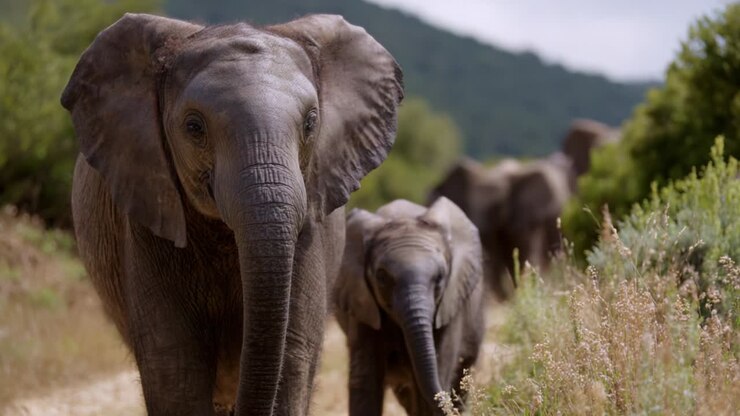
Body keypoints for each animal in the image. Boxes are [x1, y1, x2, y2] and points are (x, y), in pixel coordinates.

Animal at [334, 197, 485, 415]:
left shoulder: (450, 302)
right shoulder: (361, 303)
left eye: (440, 277)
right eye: (381, 277)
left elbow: (439, 371)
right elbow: (366, 381)